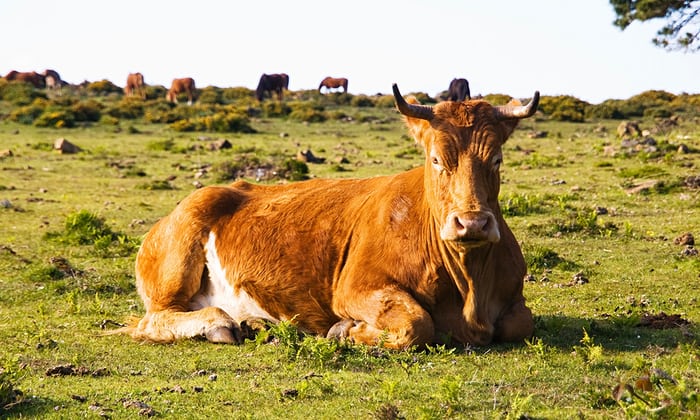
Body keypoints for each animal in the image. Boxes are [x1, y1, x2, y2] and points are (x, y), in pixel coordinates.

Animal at [117, 83, 540, 350]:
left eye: (497, 159)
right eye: (436, 159)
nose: (472, 223)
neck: (469, 282)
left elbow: (521, 323)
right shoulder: (354, 288)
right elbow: (417, 324)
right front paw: (345, 330)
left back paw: (254, 323)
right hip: (179, 257)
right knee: (154, 319)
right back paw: (218, 324)